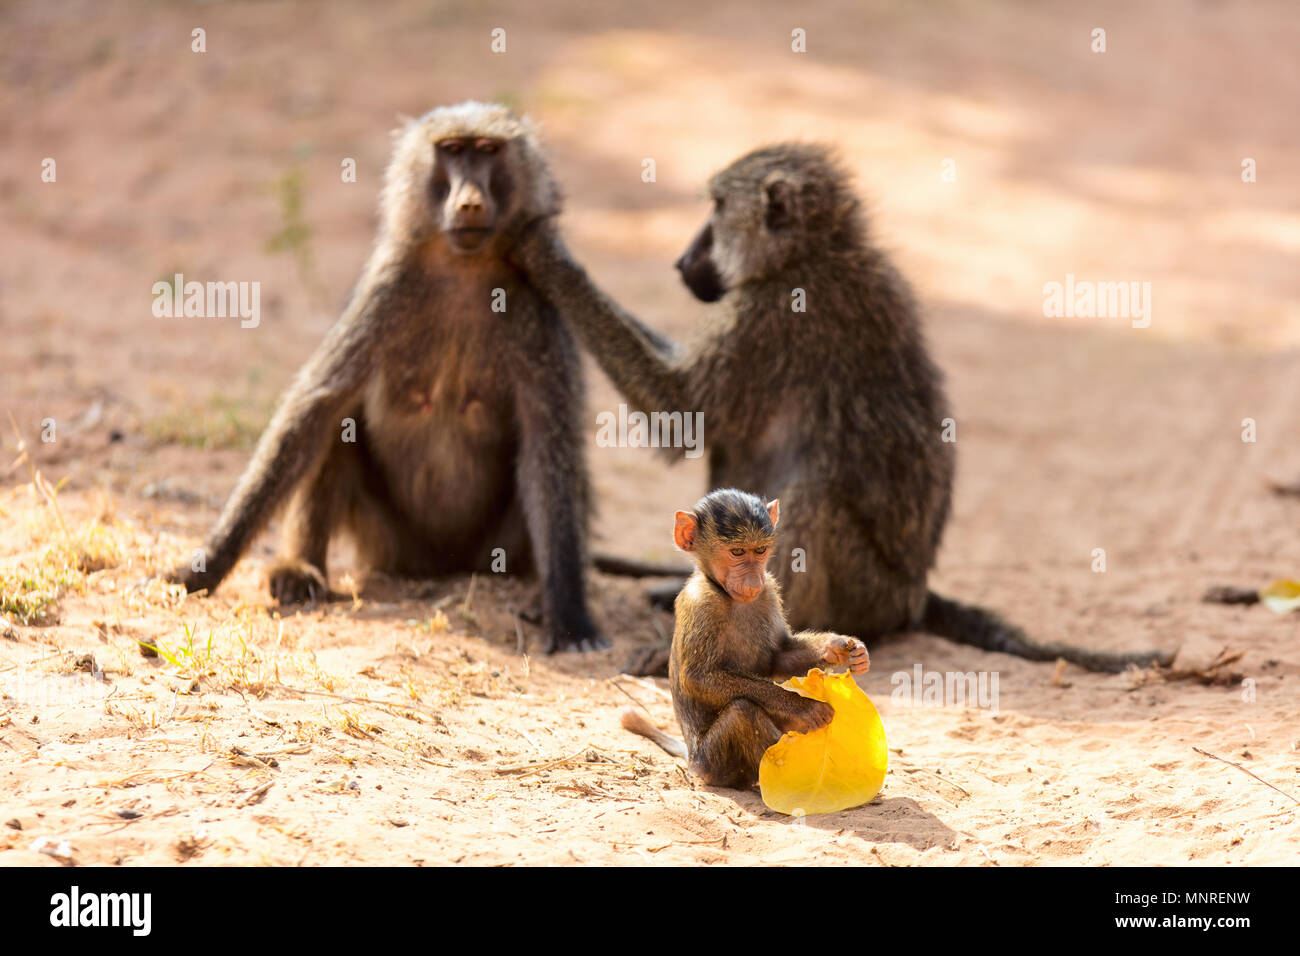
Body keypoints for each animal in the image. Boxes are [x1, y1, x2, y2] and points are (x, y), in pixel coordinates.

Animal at [168, 101, 607, 653]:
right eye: (452, 150)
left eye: (488, 150)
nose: (469, 202)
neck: (466, 270)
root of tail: (440, 567)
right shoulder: (387, 290)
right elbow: (315, 408)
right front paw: (205, 566)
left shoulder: (541, 310)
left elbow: (549, 444)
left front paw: (570, 618)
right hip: (386, 540)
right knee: (338, 421)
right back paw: (300, 570)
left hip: (490, 550)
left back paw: (532, 591)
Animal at [515, 142, 1171, 672]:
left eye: (718, 210)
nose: (681, 262)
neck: (816, 252)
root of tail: (914, 595)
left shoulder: (768, 314)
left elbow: (680, 412)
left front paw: (538, 248)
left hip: (868, 591)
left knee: (814, 495)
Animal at [620, 489, 870, 789]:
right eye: (737, 552)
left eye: (760, 550)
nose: (753, 582)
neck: (724, 592)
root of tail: (692, 761)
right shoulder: (702, 602)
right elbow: (697, 678)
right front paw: (803, 706)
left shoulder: (769, 590)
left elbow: (778, 658)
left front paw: (840, 648)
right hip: (711, 764)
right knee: (742, 711)